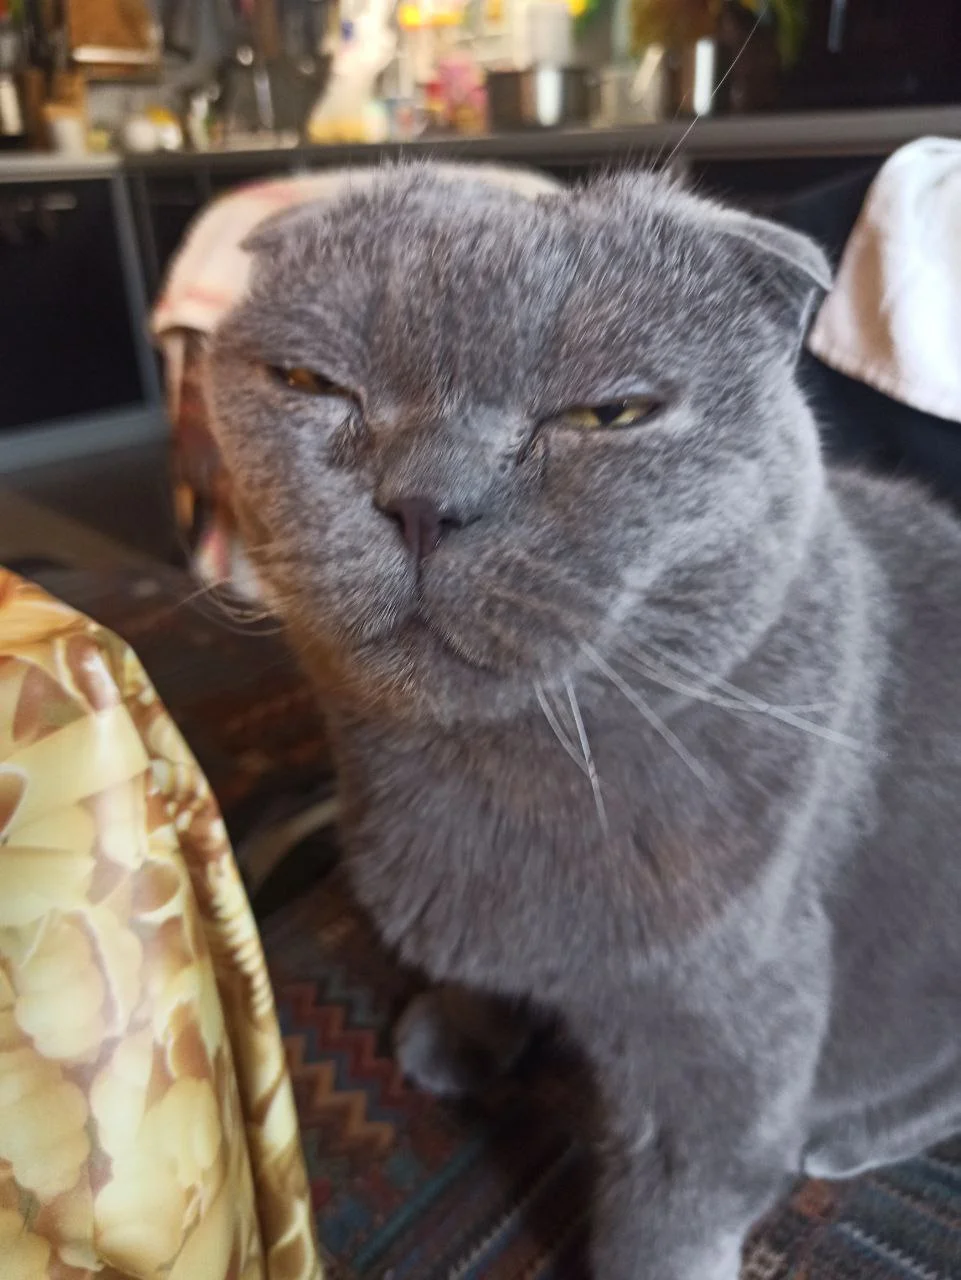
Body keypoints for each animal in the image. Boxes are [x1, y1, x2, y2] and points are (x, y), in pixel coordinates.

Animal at [206, 164, 961, 1280]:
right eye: (310, 381)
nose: (424, 501)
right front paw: (455, 1037)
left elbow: (678, 1204)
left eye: (611, 414)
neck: (487, 779)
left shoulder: (727, 1022)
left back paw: (843, 1135)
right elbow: (469, 972)